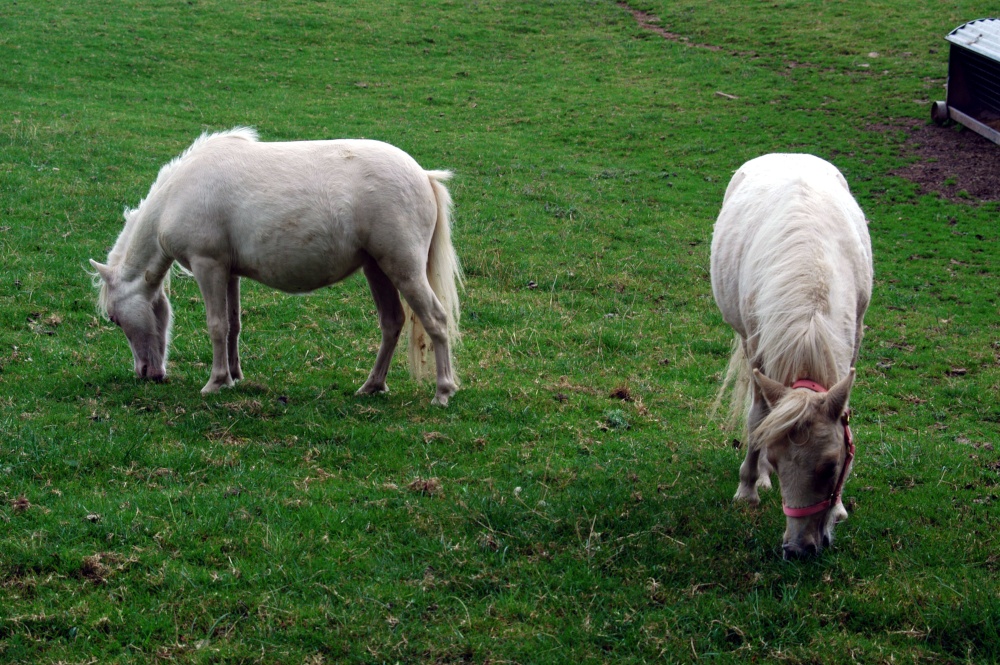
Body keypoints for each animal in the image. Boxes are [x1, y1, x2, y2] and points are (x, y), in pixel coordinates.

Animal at [90, 127, 463, 406]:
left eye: (114, 319)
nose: (146, 374)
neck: (176, 195)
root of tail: (423, 175)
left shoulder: (207, 266)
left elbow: (216, 325)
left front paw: (215, 381)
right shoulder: (228, 272)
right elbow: (233, 325)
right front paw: (234, 377)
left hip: (404, 270)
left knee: (435, 319)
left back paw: (443, 391)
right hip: (377, 269)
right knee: (392, 323)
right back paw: (372, 385)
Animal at [710, 153, 873, 559]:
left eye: (832, 467)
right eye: (779, 461)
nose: (799, 549)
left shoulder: (854, 340)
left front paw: (840, 507)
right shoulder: (757, 349)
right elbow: (758, 419)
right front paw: (748, 488)